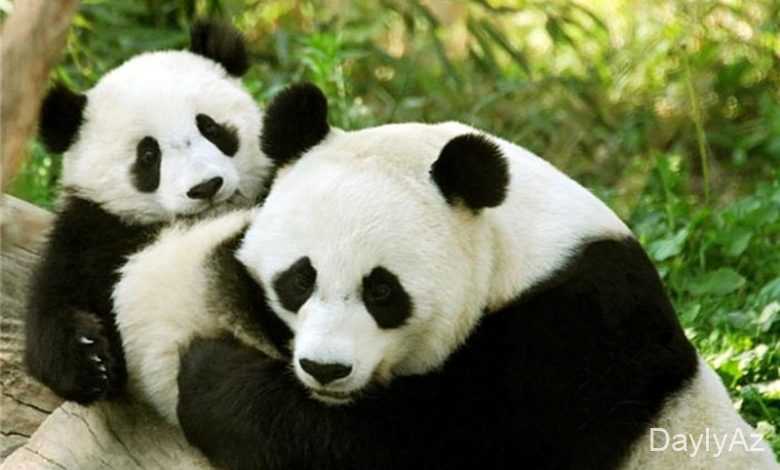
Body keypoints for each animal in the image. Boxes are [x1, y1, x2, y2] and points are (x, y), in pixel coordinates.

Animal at [24, 20, 270, 406]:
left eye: (210, 128)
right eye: (149, 155)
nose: (206, 187)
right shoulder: (92, 231)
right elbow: (52, 301)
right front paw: (90, 361)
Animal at [113, 83, 778, 470]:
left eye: (382, 291)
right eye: (297, 280)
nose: (325, 370)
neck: (515, 253)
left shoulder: (580, 340)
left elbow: (428, 449)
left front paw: (207, 374)